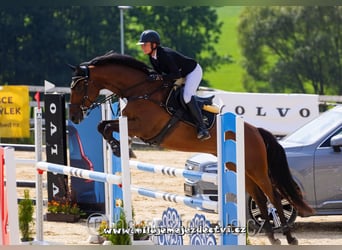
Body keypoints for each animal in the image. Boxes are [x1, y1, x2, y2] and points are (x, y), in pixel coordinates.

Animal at [68, 51, 314, 245]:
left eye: (79, 85)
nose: (74, 116)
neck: (141, 90)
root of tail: (255, 131)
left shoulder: (144, 126)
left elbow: (107, 126)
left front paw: (121, 148)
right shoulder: (131, 123)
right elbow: (103, 126)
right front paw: (119, 147)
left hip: (257, 168)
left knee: (273, 195)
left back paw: (289, 236)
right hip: (242, 169)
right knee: (260, 198)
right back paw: (272, 237)